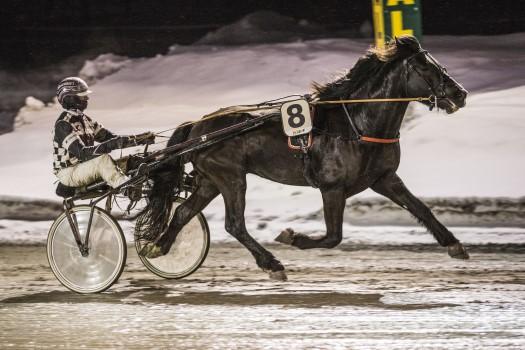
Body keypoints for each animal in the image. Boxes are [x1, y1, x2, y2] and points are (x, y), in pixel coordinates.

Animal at [135, 36, 466, 282]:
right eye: (427, 68)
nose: (460, 94)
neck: (356, 125)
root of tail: (198, 126)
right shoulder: (332, 187)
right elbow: (333, 236)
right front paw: (292, 237)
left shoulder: (384, 178)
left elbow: (421, 209)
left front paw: (454, 244)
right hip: (231, 178)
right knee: (234, 224)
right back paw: (271, 263)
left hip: (210, 180)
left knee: (183, 212)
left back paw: (157, 246)